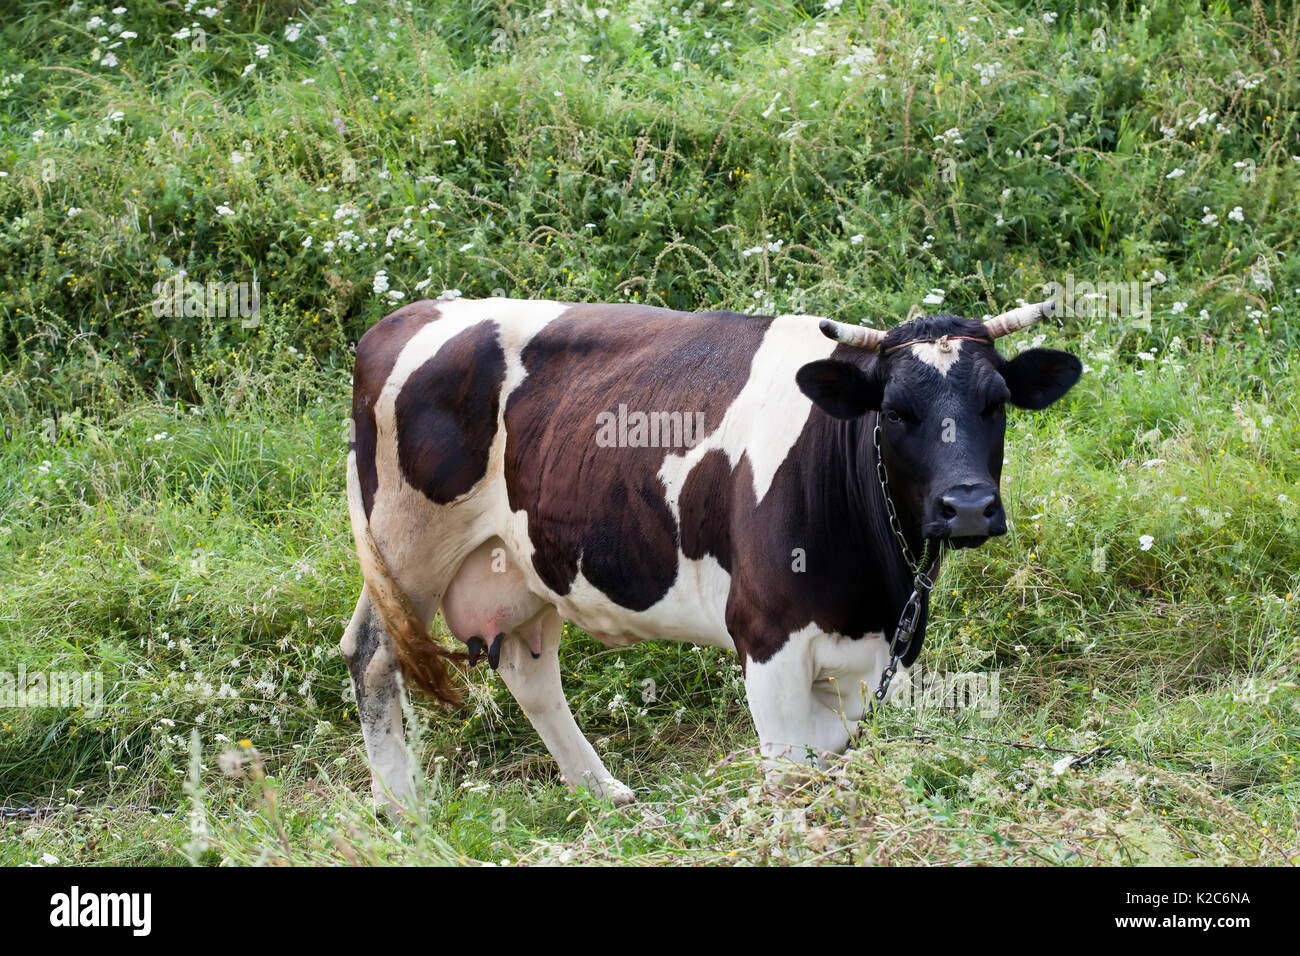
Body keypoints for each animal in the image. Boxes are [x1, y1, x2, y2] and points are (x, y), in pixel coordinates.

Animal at [342, 296, 1081, 809]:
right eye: (895, 411)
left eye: (996, 404)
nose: (967, 507)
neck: (876, 588)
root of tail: (403, 318)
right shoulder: (768, 636)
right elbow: (790, 771)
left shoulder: (878, 654)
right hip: (406, 547)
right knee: (373, 654)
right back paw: (404, 810)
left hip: (519, 562)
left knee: (529, 670)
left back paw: (599, 790)